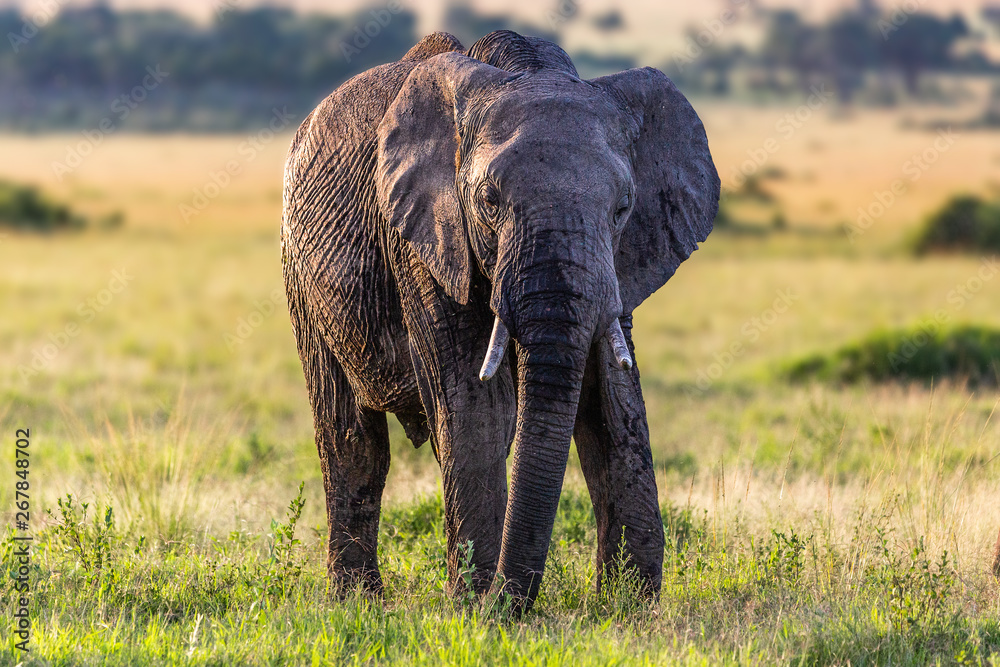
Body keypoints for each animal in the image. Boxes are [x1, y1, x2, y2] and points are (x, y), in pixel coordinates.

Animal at [280, 29, 720, 614]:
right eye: (489, 201)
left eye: (623, 206)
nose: (503, 604)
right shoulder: (422, 241)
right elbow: (478, 405)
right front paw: (474, 609)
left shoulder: (620, 262)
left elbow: (612, 400)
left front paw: (630, 608)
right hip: (300, 278)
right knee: (352, 442)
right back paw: (358, 604)